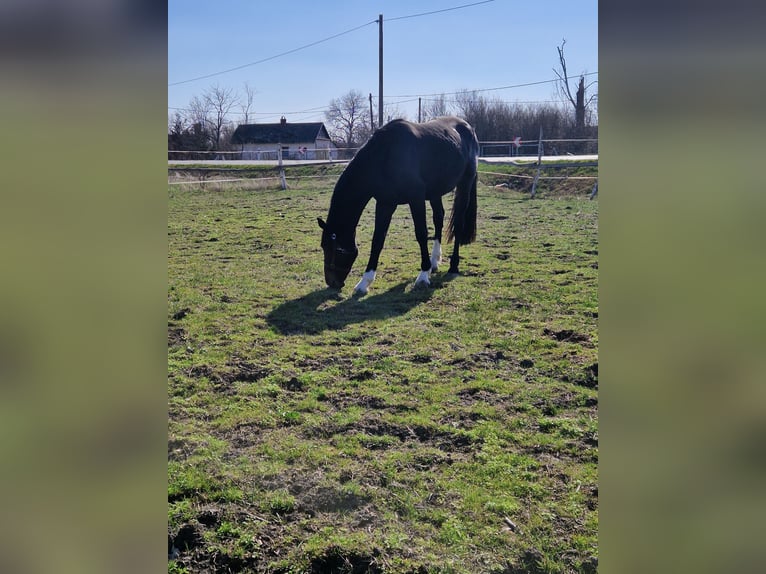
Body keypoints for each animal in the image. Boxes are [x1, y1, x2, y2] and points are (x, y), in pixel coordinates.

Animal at [317, 116, 479, 294]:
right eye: (323, 247)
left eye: (335, 249)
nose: (332, 282)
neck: (385, 156)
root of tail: (468, 127)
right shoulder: (385, 204)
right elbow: (377, 240)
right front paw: (364, 282)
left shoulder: (416, 199)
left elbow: (421, 234)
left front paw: (423, 275)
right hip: (435, 192)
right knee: (438, 218)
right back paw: (435, 262)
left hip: (465, 184)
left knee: (458, 223)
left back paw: (453, 266)